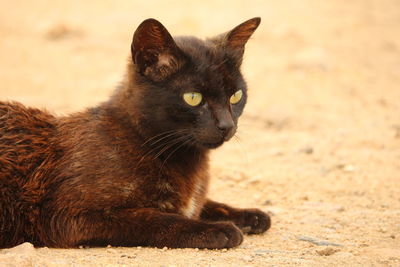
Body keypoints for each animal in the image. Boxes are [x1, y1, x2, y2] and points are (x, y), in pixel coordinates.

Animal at [0, 17, 270, 250]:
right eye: (193, 98)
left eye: (236, 96)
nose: (227, 125)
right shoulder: (69, 216)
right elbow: (157, 219)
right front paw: (218, 229)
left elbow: (207, 204)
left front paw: (250, 215)